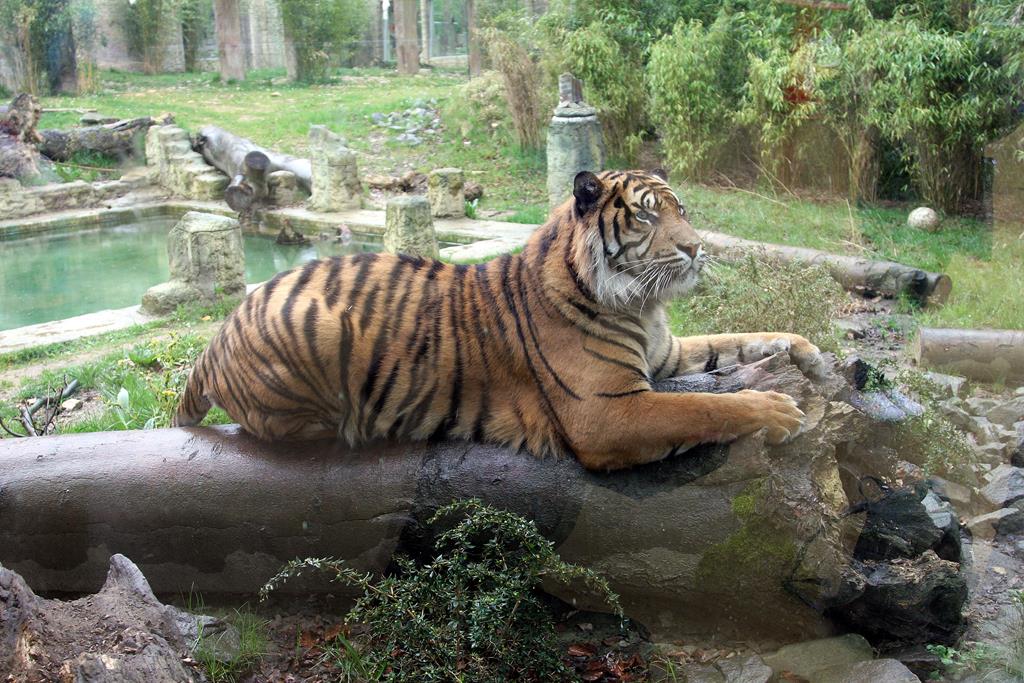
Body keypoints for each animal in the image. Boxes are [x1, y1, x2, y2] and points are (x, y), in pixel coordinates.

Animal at [174, 167, 823, 473]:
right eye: (644, 217)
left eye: (681, 211)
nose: (695, 249)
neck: (642, 306)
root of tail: (214, 338)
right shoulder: (605, 412)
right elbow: (703, 405)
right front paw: (777, 410)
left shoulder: (666, 353)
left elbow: (735, 340)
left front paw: (807, 351)